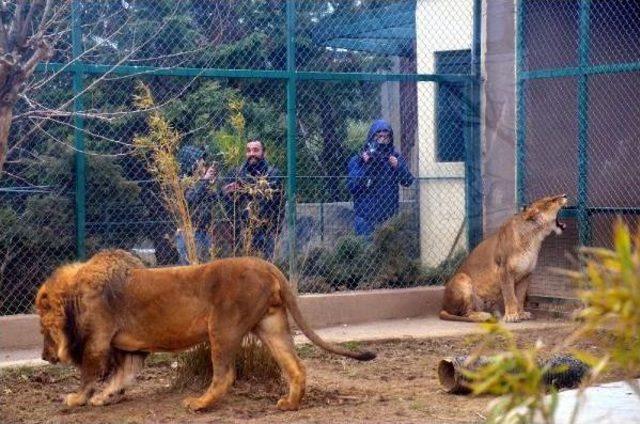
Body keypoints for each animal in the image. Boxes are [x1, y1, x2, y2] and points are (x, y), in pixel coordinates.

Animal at [36, 248, 376, 410]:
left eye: (42, 329)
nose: (43, 357)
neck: (74, 296)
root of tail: (267, 265)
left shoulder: (97, 340)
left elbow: (90, 374)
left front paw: (77, 399)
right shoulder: (129, 348)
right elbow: (121, 376)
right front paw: (105, 397)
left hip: (222, 327)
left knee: (225, 374)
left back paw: (199, 404)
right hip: (271, 326)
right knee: (295, 367)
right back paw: (290, 404)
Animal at [438, 195, 568, 322]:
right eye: (551, 200)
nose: (565, 195)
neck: (534, 237)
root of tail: (443, 307)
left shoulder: (526, 274)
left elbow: (520, 297)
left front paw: (521, 313)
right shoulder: (504, 271)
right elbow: (510, 296)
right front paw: (511, 315)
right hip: (462, 278)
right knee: (465, 314)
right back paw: (485, 316)